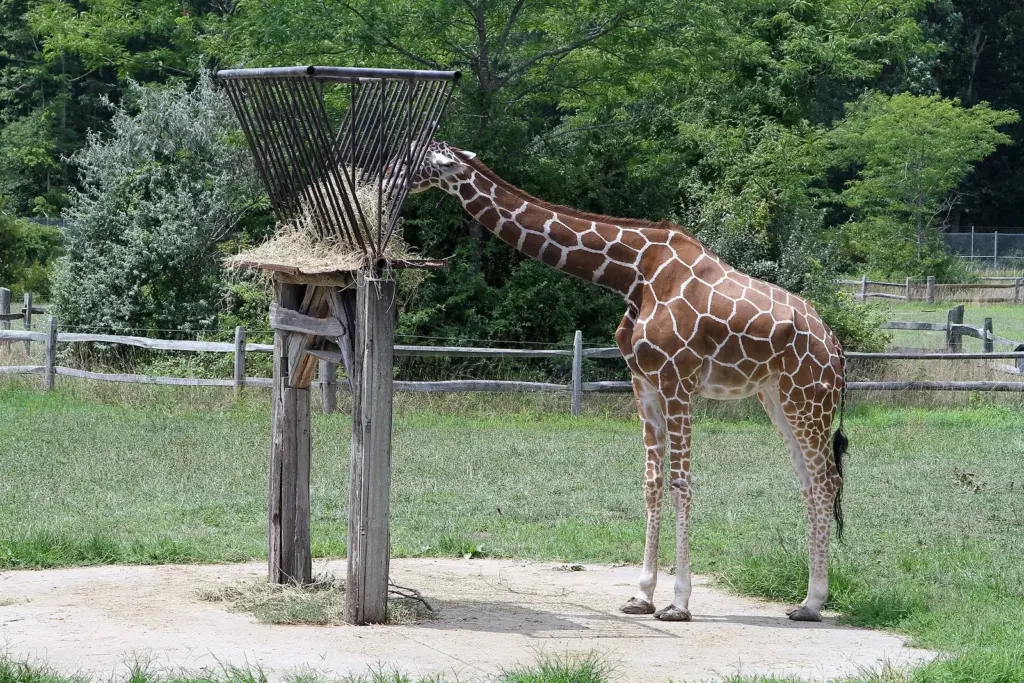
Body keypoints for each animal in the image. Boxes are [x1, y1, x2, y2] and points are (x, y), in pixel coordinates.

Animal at [403, 141, 848, 622]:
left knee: (827, 480)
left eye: (412, 158)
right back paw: (804, 601)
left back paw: (814, 602)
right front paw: (642, 595)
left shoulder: (678, 380)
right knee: (809, 481)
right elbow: (651, 481)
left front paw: (678, 603)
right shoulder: (644, 382)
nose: (381, 174)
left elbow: (680, 482)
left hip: (807, 396)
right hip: (775, 396)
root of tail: (836, 347)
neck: (633, 273)